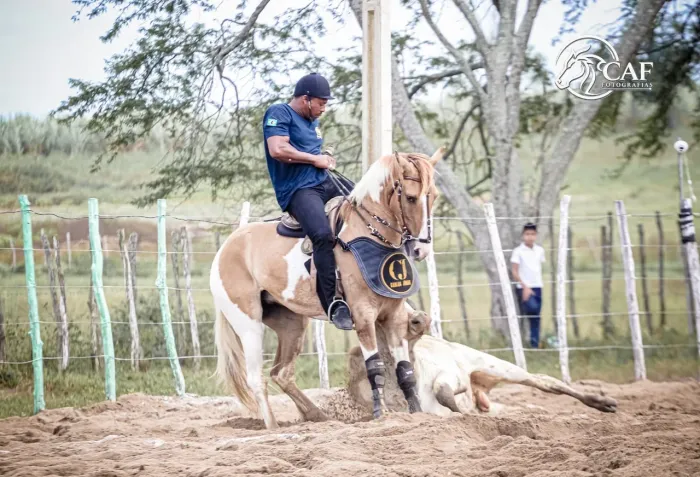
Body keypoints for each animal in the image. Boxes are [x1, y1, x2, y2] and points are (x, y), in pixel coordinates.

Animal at [210, 147, 444, 429]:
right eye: (410, 197)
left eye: (434, 196)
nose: (421, 249)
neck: (368, 233)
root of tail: (226, 248)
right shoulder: (363, 316)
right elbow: (375, 367)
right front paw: (381, 413)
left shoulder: (394, 317)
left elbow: (405, 371)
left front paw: (417, 413)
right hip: (248, 324)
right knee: (256, 378)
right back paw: (273, 427)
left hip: (292, 325)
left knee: (281, 373)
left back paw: (318, 416)